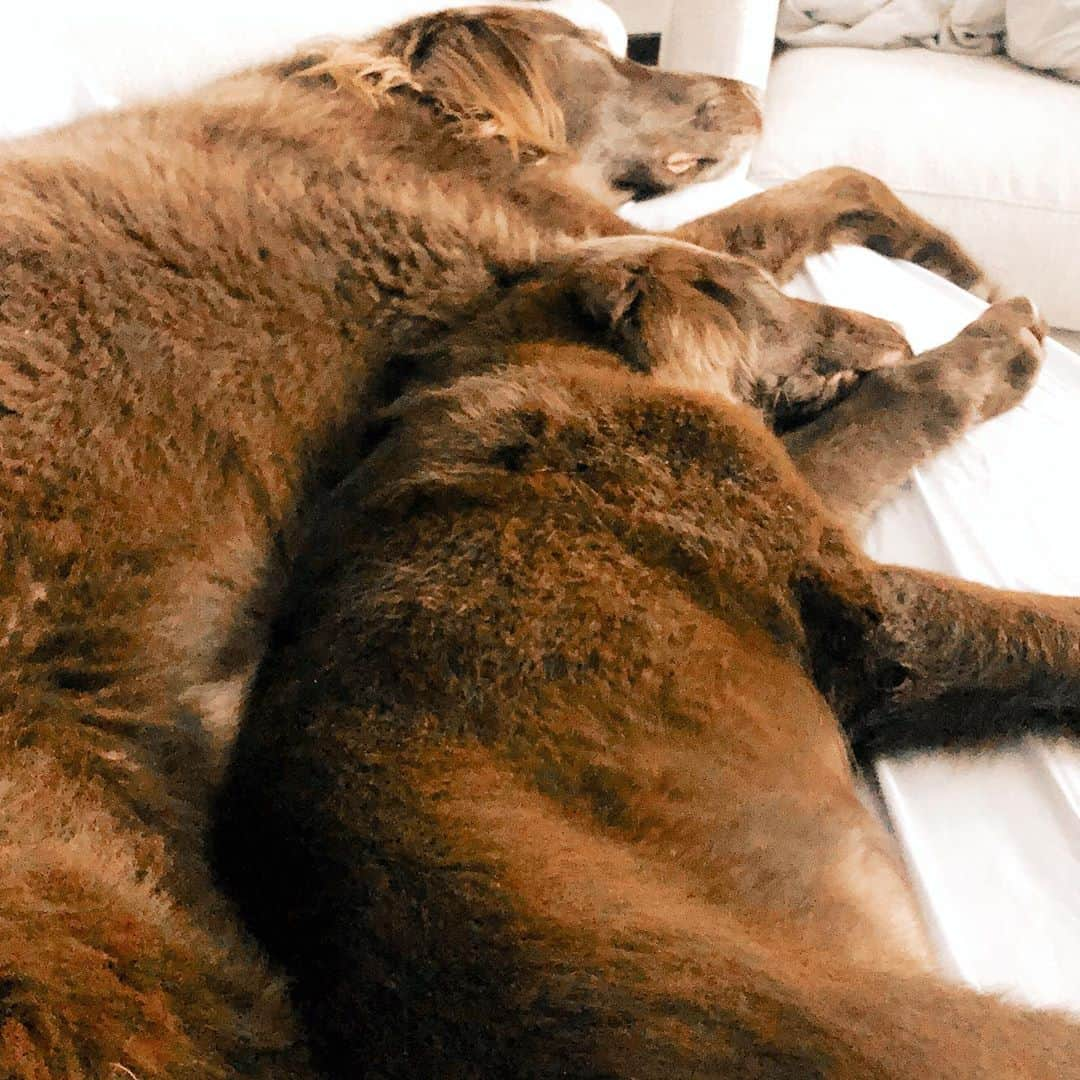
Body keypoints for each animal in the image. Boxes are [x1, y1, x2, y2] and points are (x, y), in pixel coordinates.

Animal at [0, 4, 1067, 1075]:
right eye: (601, 56)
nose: (748, 91)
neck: (423, 110)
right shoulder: (585, 254)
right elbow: (830, 207)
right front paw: (975, 308)